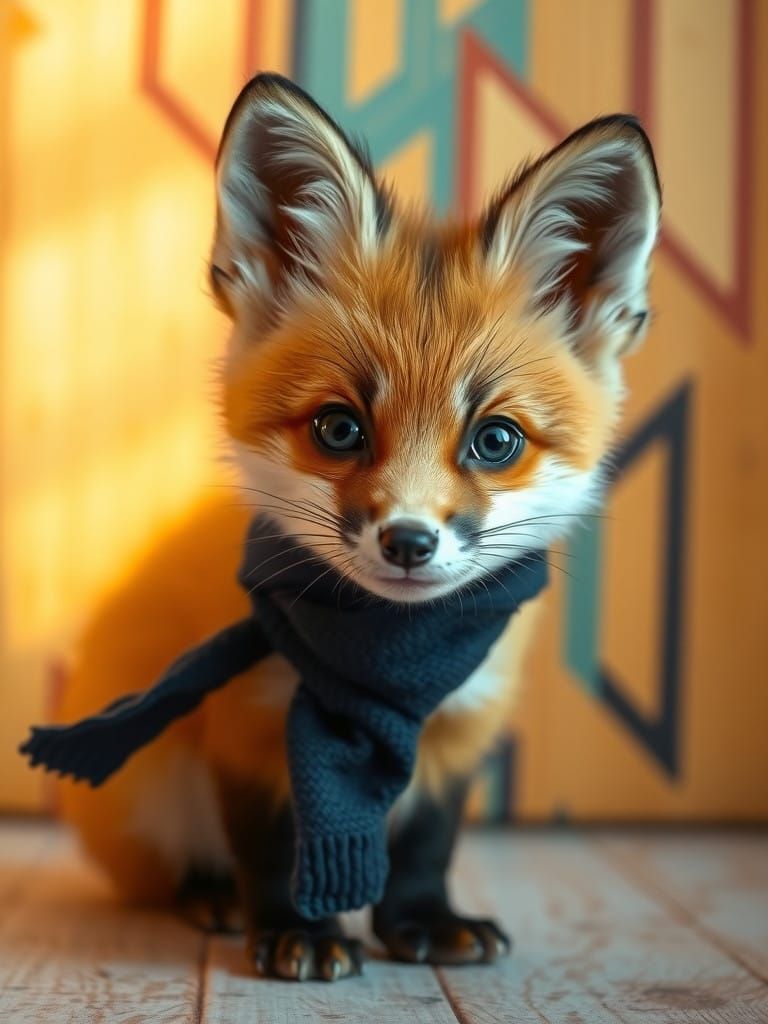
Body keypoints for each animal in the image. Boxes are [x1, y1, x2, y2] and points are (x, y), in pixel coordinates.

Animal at [54, 74, 660, 981]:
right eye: (339, 429)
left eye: (496, 441)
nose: (408, 542)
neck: (391, 661)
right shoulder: (246, 725)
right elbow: (274, 850)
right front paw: (295, 932)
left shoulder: (459, 729)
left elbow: (425, 849)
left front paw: (424, 923)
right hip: (149, 788)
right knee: (168, 869)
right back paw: (211, 895)